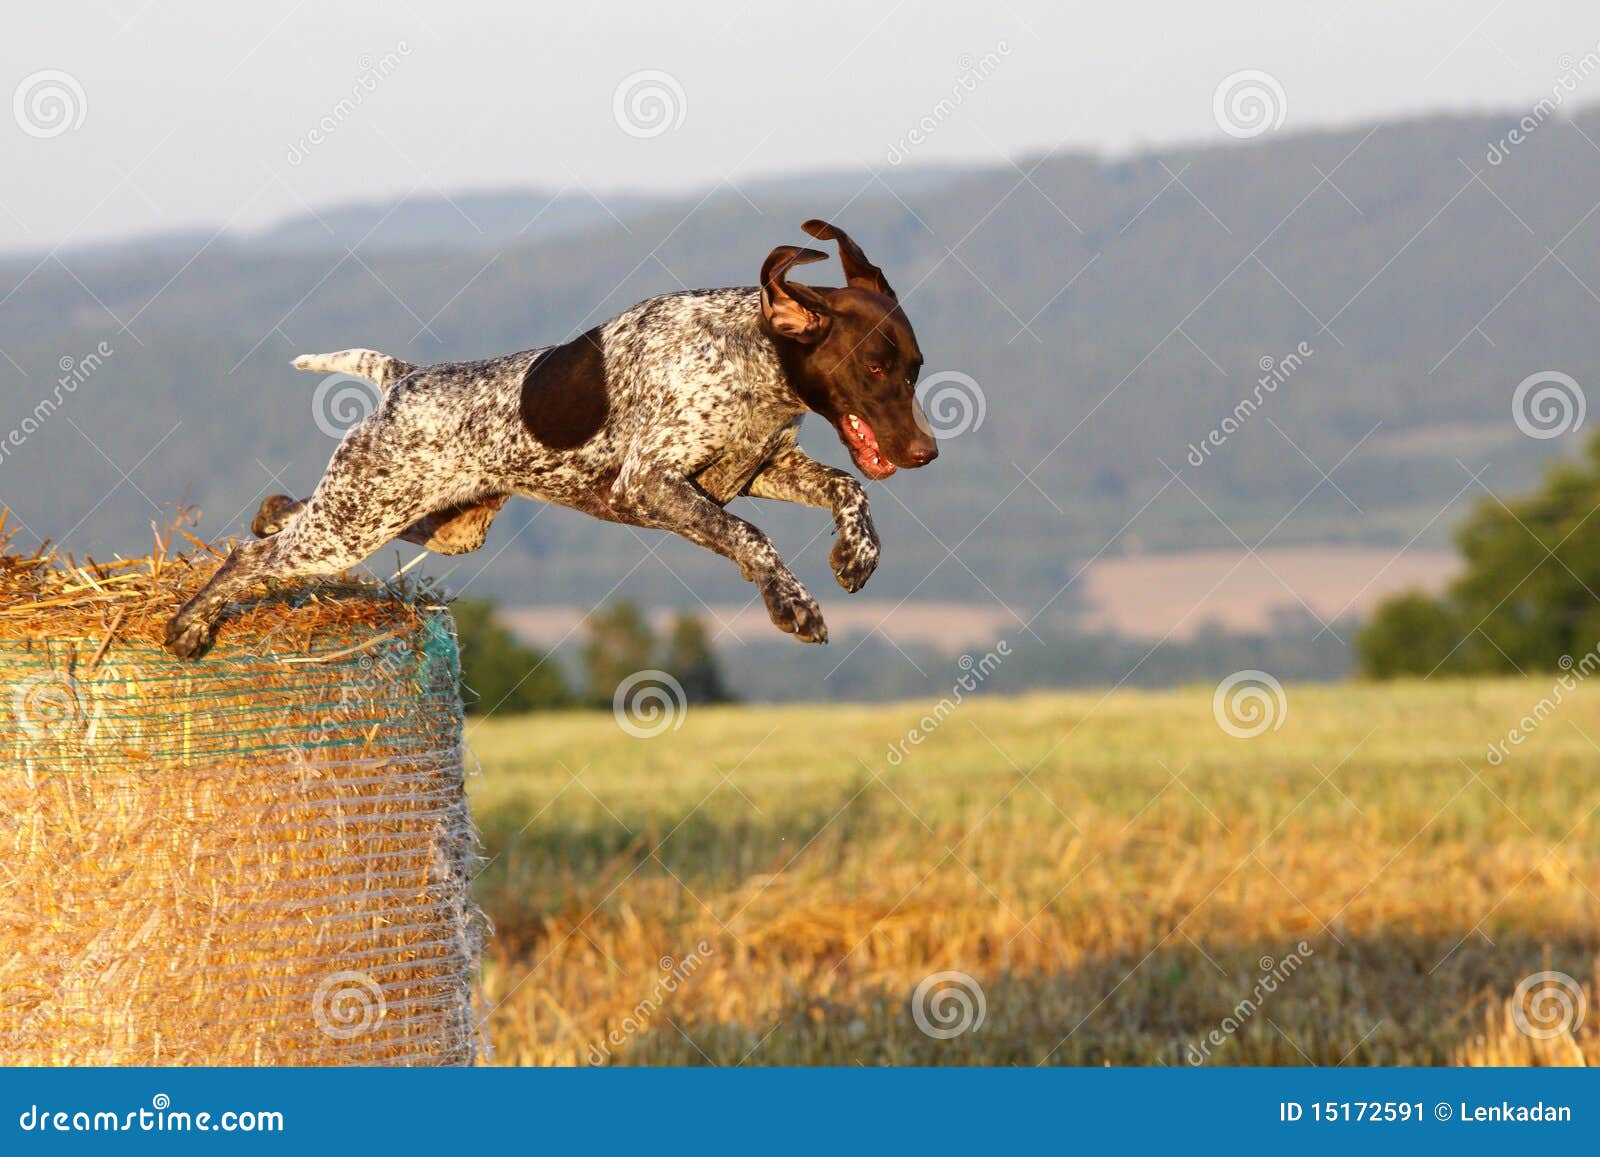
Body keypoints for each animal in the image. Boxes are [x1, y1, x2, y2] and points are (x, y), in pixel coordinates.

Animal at [162, 219, 934, 659]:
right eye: (873, 366)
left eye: (916, 367)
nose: (926, 454)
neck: (749, 354)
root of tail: (404, 377)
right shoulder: (651, 485)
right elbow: (752, 537)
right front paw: (793, 603)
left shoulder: (754, 472)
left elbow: (848, 487)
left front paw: (857, 552)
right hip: (355, 525)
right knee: (248, 558)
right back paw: (189, 624)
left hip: (435, 522)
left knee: (281, 519)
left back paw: (265, 519)